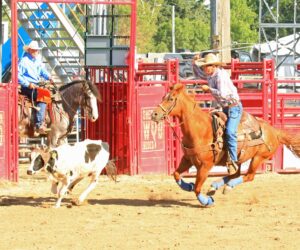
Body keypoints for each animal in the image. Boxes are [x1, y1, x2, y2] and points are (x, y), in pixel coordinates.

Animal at [151, 84, 300, 207]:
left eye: (171, 99)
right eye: (163, 97)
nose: (154, 114)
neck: (200, 130)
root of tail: (274, 131)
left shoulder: (205, 166)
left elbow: (198, 188)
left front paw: (207, 201)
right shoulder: (187, 159)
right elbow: (176, 174)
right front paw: (188, 186)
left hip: (259, 157)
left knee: (248, 176)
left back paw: (226, 187)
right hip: (238, 159)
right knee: (236, 173)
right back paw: (215, 186)